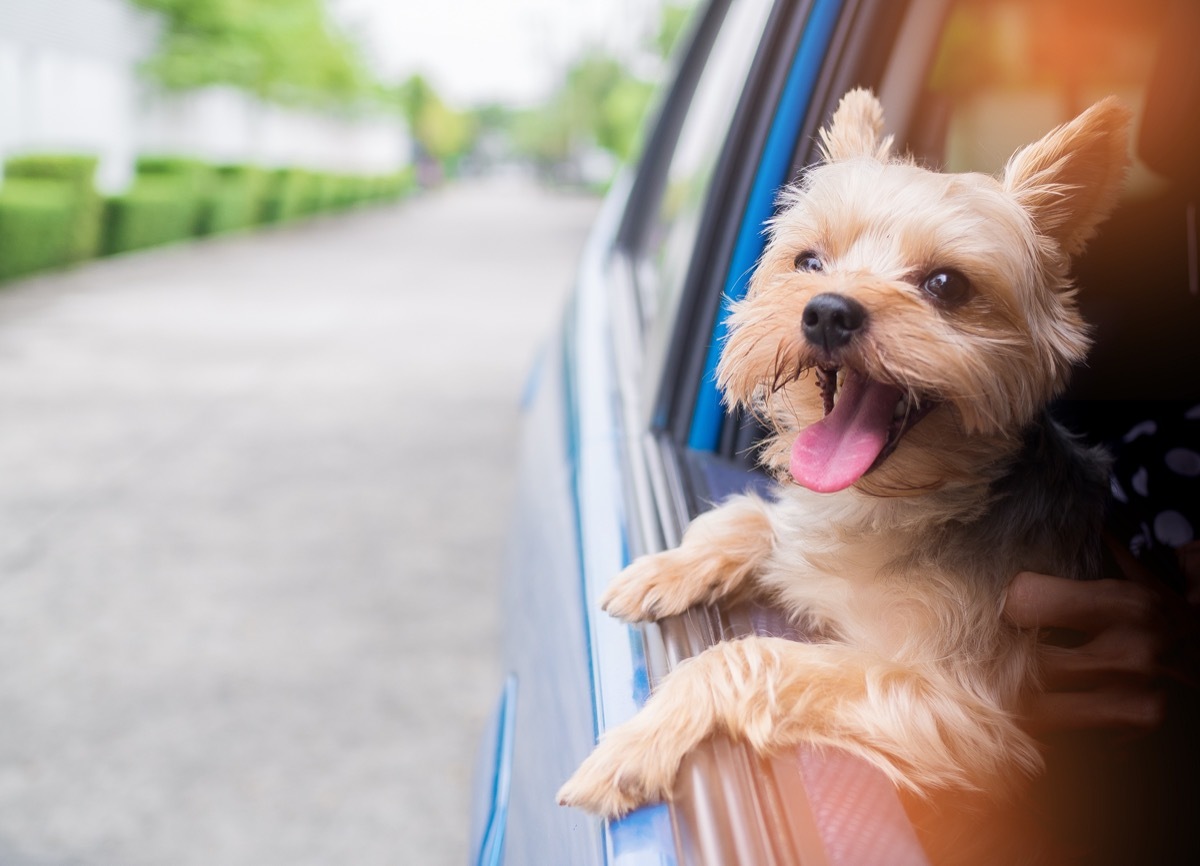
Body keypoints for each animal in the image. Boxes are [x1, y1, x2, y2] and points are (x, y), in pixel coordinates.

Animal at [556, 89, 1128, 834]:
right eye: (808, 263)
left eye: (946, 284)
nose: (828, 311)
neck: (896, 504)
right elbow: (749, 518)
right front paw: (666, 567)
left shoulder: (955, 707)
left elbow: (748, 654)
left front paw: (639, 741)